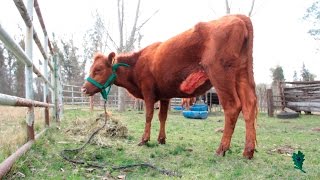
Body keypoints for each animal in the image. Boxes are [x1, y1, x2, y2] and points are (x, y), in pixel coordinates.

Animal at [82, 14, 258, 158]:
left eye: (98, 69)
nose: (83, 88)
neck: (138, 63)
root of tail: (238, 17)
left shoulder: (148, 92)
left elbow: (149, 115)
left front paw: (144, 140)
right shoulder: (164, 96)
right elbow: (162, 117)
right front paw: (161, 139)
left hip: (221, 76)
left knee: (232, 107)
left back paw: (222, 148)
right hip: (242, 75)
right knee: (249, 105)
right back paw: (248, 151)